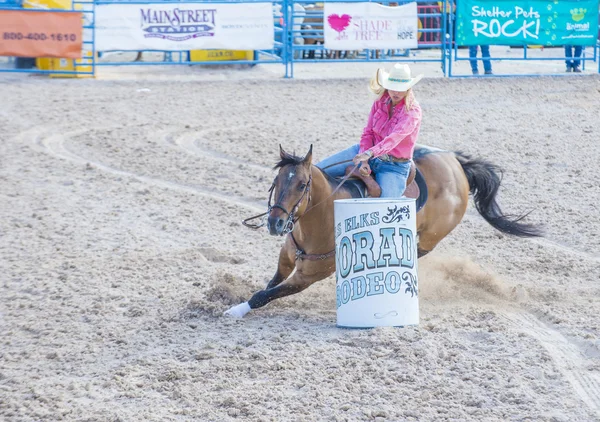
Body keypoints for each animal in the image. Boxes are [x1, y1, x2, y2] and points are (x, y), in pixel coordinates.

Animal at [223, 145, 540, 316]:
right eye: (276, 181)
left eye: (302, 185)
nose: (275, 223)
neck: (320, 219)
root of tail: (457, 165)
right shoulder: (287, 260)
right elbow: (268, 286)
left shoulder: (307, 278)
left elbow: (263, 295)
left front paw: (236, 310)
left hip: (430, 237)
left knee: (419, 252)